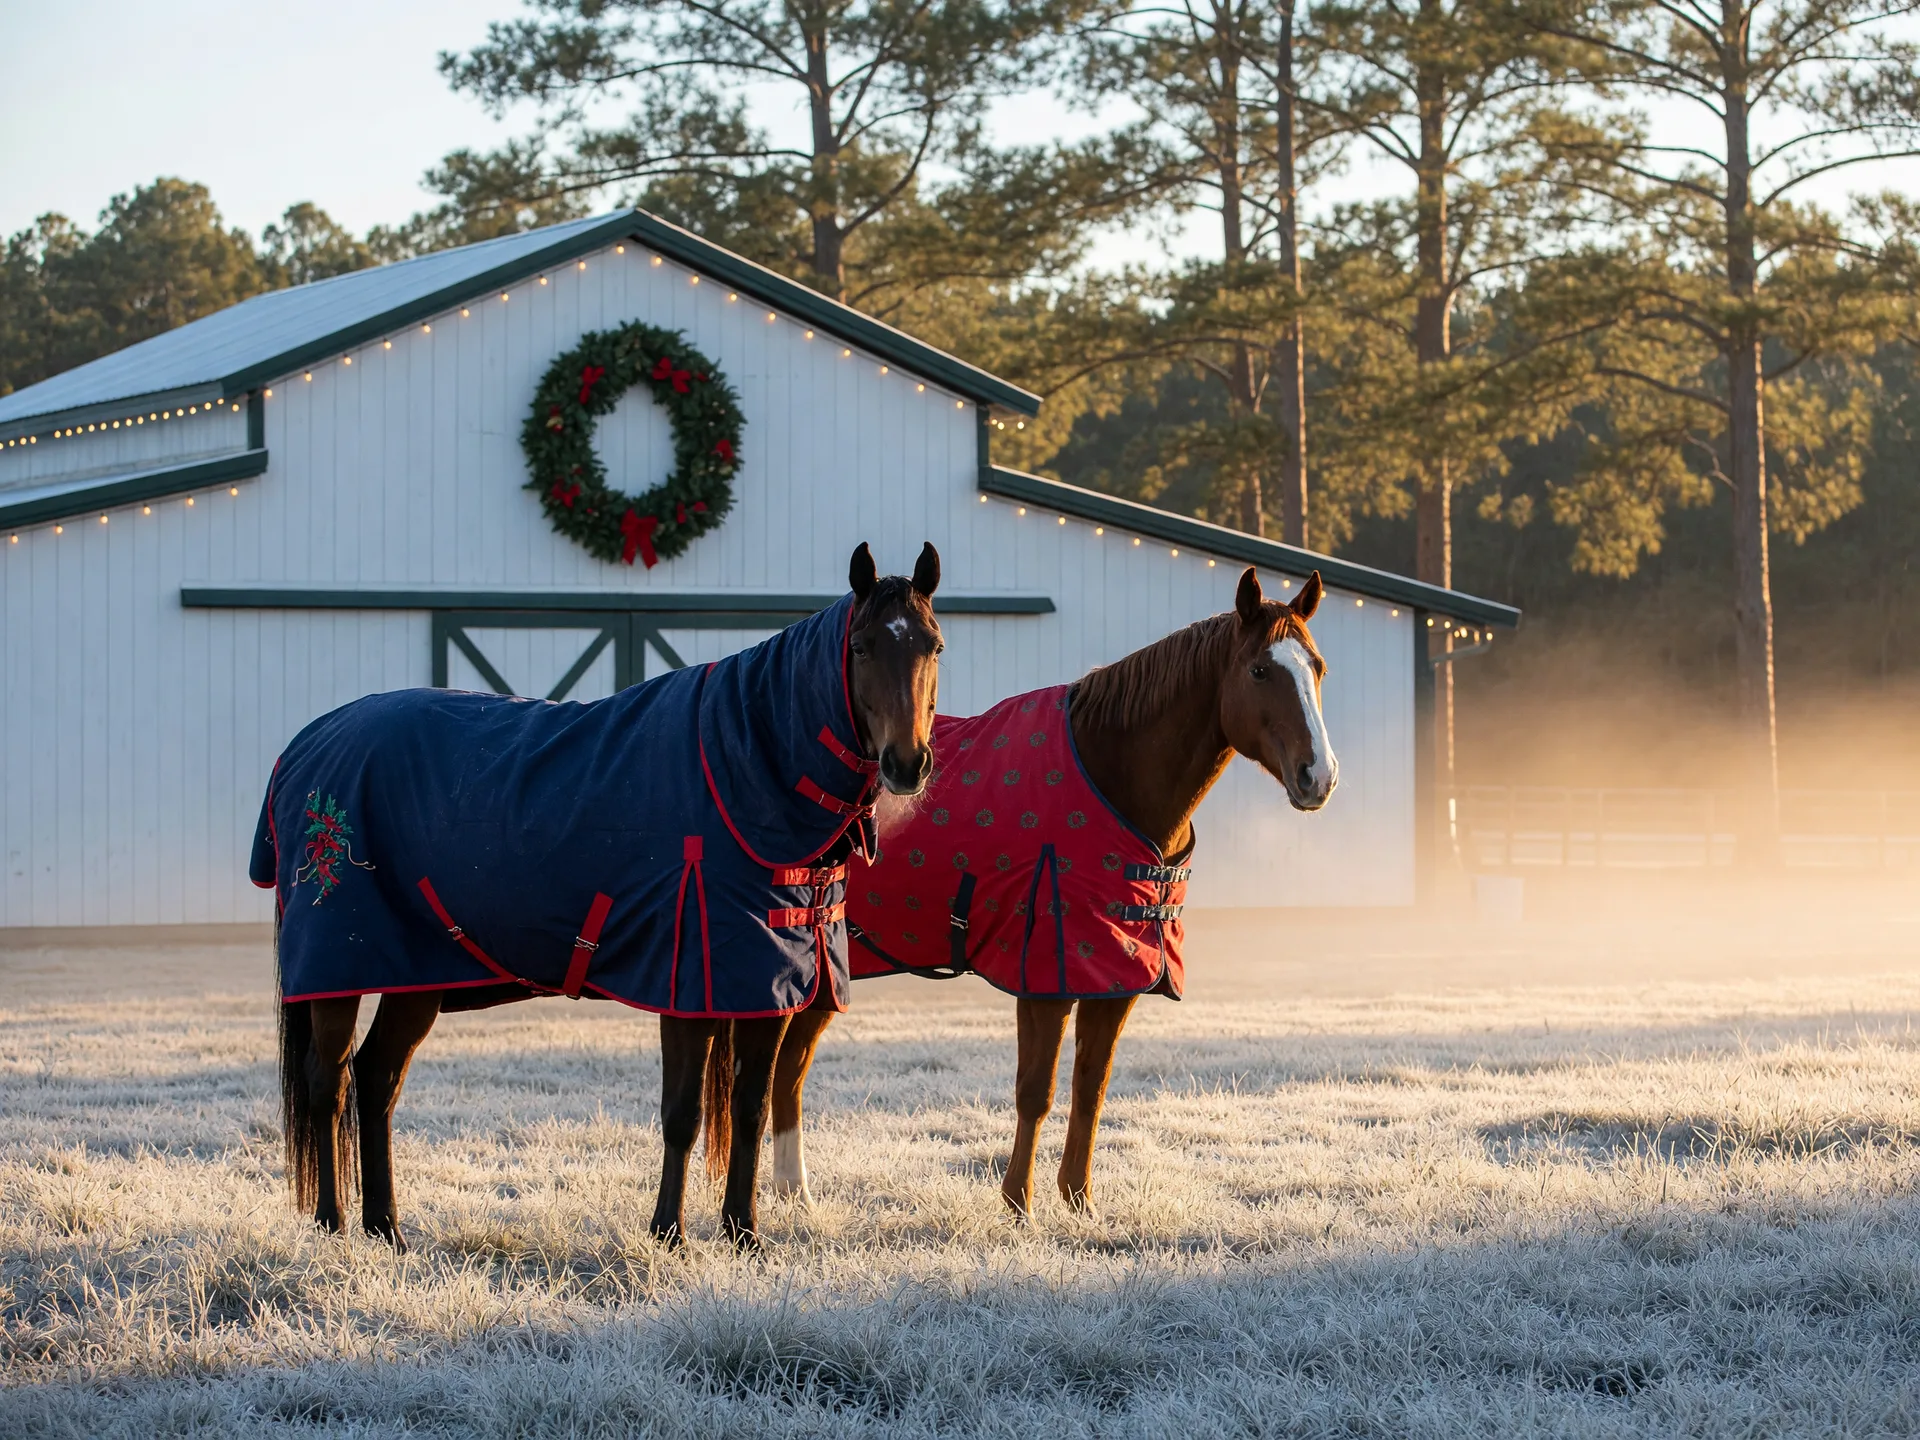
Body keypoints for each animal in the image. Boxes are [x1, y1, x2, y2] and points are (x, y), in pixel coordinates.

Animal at [259, 542, 943, 1251]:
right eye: (860, 647)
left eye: (934, 645)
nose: (907, 764)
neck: (743, 772)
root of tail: (305, 746)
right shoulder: (688, 985)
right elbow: (683, 1113)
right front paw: (668, 1233)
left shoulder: (773, 986)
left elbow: (751, 1108)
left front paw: (742, 1233)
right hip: (338, 968)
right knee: (328, 1083)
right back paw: (332, 1223)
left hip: (415, 976)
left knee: (377, 1079)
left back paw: (385, 1228)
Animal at [763, 566, 1335, 1218]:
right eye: (1261, 670)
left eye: (1317, 667)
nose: (1319, 776)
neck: (1108, 774)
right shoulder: (1046, 977)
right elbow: (1036, 1089)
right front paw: (1019, 1205)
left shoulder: (1116, 976)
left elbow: (1092, 1084)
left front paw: (1080, 1201)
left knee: (789, 1069)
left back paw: (793, 1194)